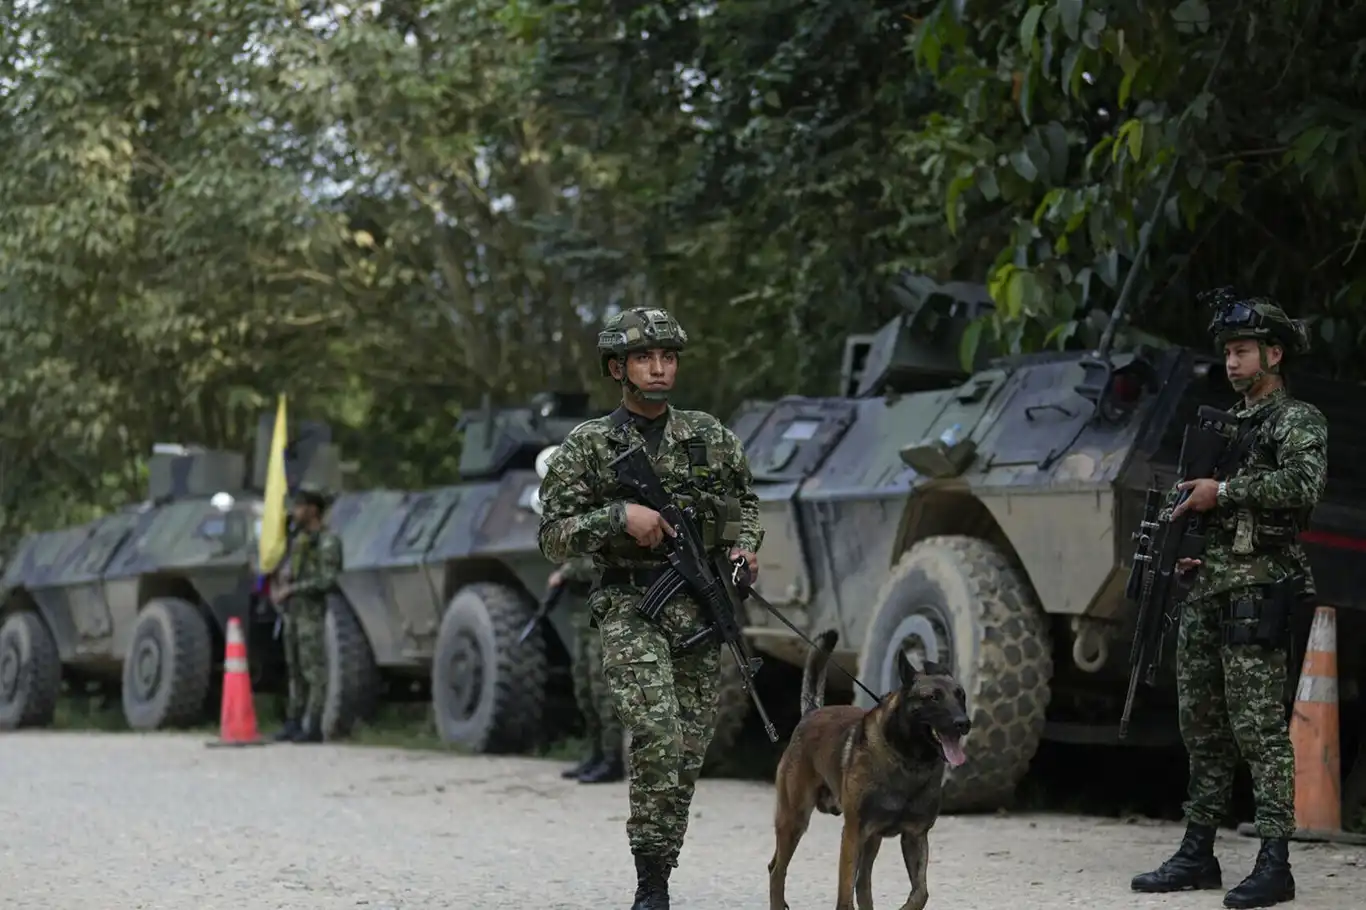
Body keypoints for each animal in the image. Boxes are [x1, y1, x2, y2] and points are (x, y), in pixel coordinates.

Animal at [770, 628, 972, 907]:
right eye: (933, 697)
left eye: (961, 696)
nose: (964, 723)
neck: (909, 761)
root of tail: (811, 713)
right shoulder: (853, 834)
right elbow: (844, 896)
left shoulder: (915, 836)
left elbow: (921, 892)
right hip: (795, 820)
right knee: (777, 869)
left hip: (871, 840)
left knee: (863, 882)